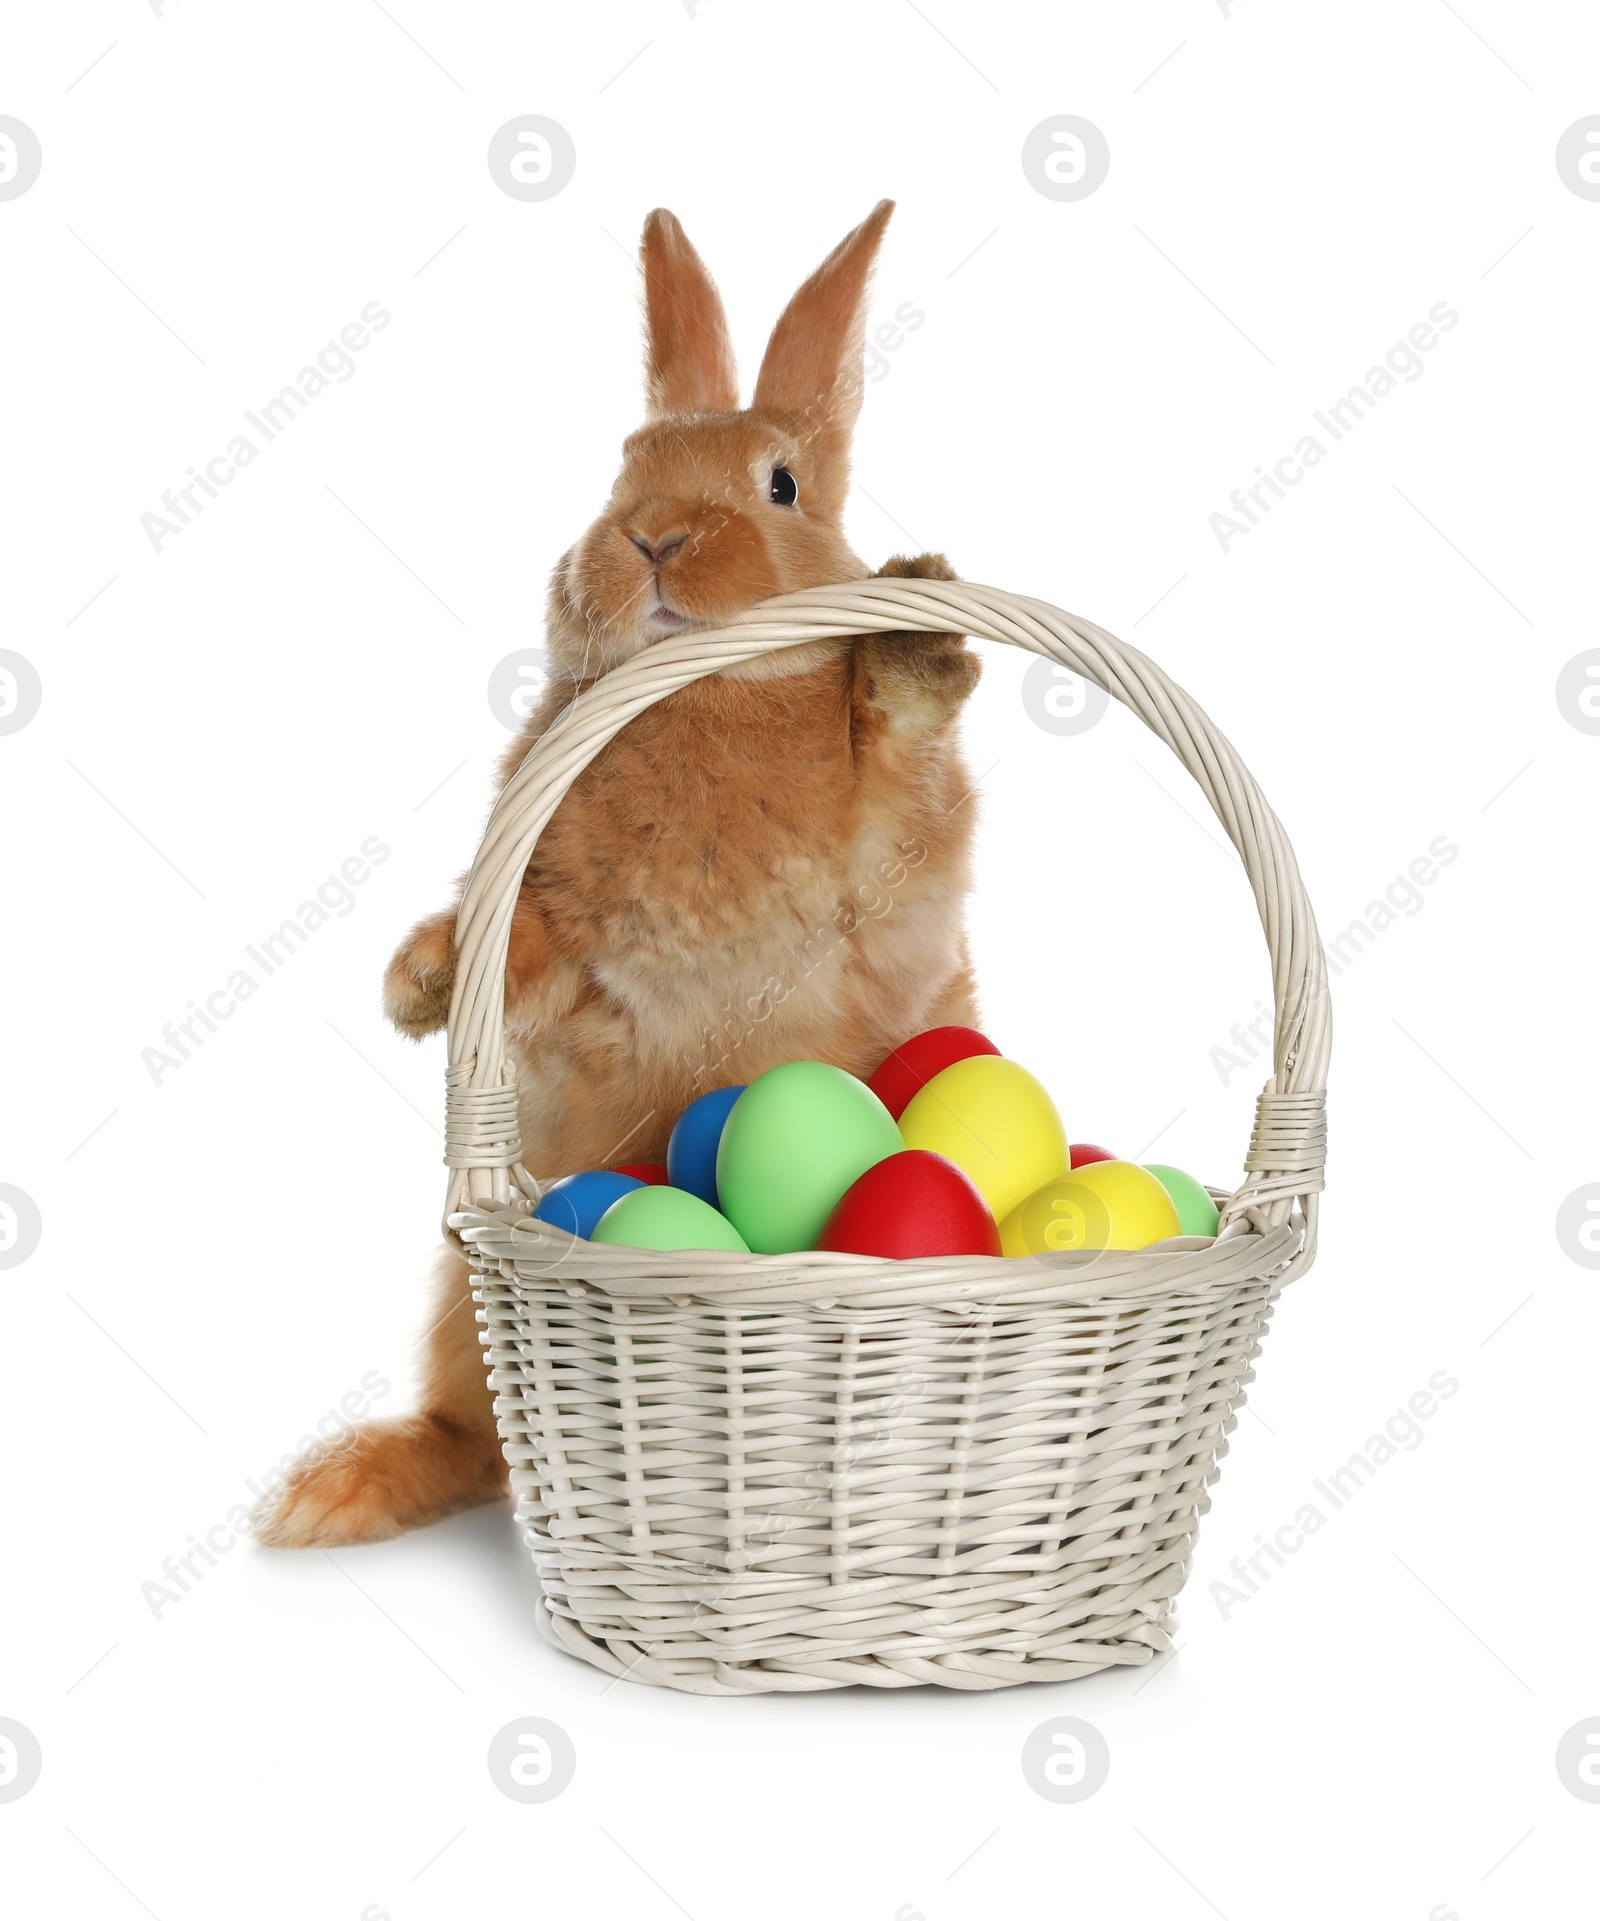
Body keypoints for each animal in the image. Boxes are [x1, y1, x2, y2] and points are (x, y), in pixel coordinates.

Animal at [261, 198, 979, 1544]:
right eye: (622, 475)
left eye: (780, 483)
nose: (652, 538)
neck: (704, 693)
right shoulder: (564, 925)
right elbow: (527, 948)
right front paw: (420, 978)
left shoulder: (900, 847)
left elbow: (894, 743)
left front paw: (912, 621)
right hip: (459, 1296)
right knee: (471, 1434)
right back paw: (339, 1489)